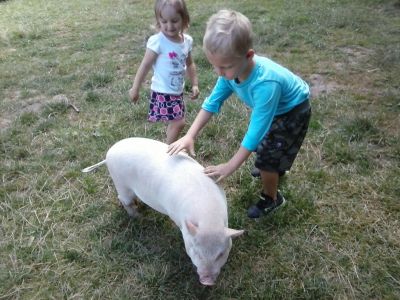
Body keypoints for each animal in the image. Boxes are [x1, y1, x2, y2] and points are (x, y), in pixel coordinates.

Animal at [82, 137, 244, 284]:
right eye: (196, 252)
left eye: (221, 254)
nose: (207, 281)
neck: (208, 218)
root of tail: (108, 154)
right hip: (120, 182)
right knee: (123, 198)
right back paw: (137, 216)